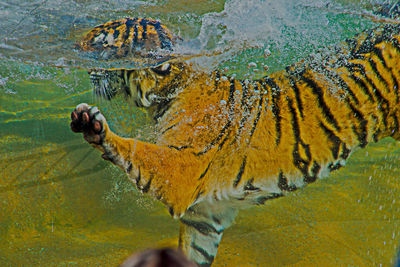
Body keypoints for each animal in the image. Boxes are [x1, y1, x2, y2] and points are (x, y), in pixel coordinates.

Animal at [71, 8, 400, 267]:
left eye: (101, 44)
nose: (74, 49)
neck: (164, 95)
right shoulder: (205, 217)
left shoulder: (180, 170)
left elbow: (136, 150)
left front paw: (93, 125)